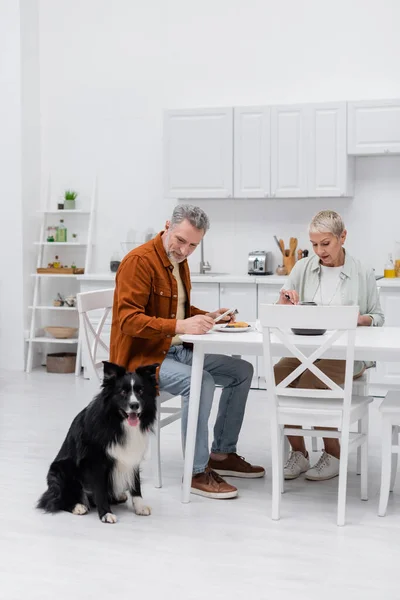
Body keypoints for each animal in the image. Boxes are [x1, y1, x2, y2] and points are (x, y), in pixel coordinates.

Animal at [36, 358, 158, 524]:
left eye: (141, 391)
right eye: (123, 392)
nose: (134, 405)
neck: (117, 422)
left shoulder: (132, 457)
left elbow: (136, 485)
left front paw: (139, 507)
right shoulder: (96, 462)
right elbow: (100, 490)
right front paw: (106, 514)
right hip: (60, 469)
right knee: (55, 500)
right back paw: (77, 506)